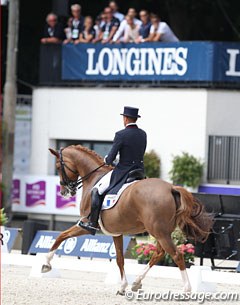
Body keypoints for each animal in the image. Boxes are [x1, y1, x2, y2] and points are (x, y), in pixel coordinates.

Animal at [42, 146, 212, 294]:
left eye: (58, 167)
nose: (64, 192)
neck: (94, 177)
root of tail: (171, 188)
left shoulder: (84, 225)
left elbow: (61, 236)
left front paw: (46, 264)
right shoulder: (116, 233)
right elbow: (119, 259)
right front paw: (122, 287)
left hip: (159, 232)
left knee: (176, 255)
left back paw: (186, 289)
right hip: (161, 232)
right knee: (159, 253)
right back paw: (136, 283)